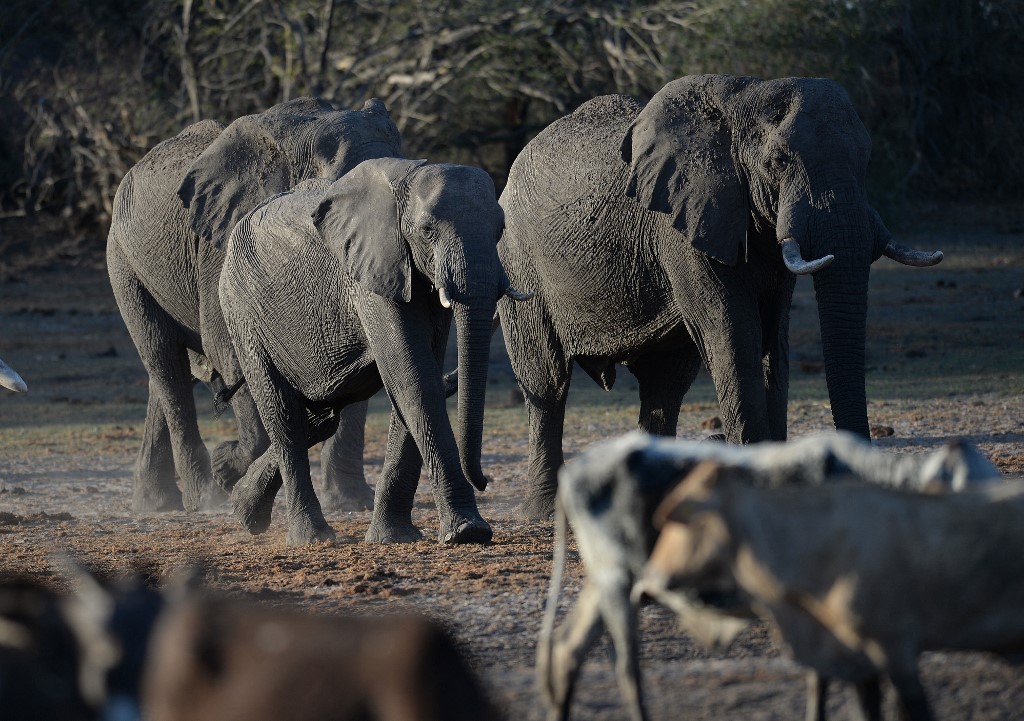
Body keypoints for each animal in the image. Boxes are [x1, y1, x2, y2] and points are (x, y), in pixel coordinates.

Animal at [106, 97, 402, 514]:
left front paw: (352, 503)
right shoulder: (223, 245)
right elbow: (232, 351)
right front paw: (227, 470)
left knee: (166, 372)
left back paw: (156, 502)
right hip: (123, 260)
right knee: (164, 360)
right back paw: (205, 497)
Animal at [219, 157, 528, 546]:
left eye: (500, 229)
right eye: (427, 231)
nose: (484, 481)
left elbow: (414, 379)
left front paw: (394, 537)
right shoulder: (373, 273)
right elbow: (414, 378)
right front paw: (467, 532)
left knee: (322, 416)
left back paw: (243, 509)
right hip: (243, 312)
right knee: (283, 413)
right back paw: (312, 537)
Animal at [497, 75, 943, 519]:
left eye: (866, 161)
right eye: (778, 161)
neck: (743, 100)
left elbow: (772, 339)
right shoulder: (682, 226)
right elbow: (734, 335)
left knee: (664, 386)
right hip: (518, 262)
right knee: (548, 383)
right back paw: (546, 510)